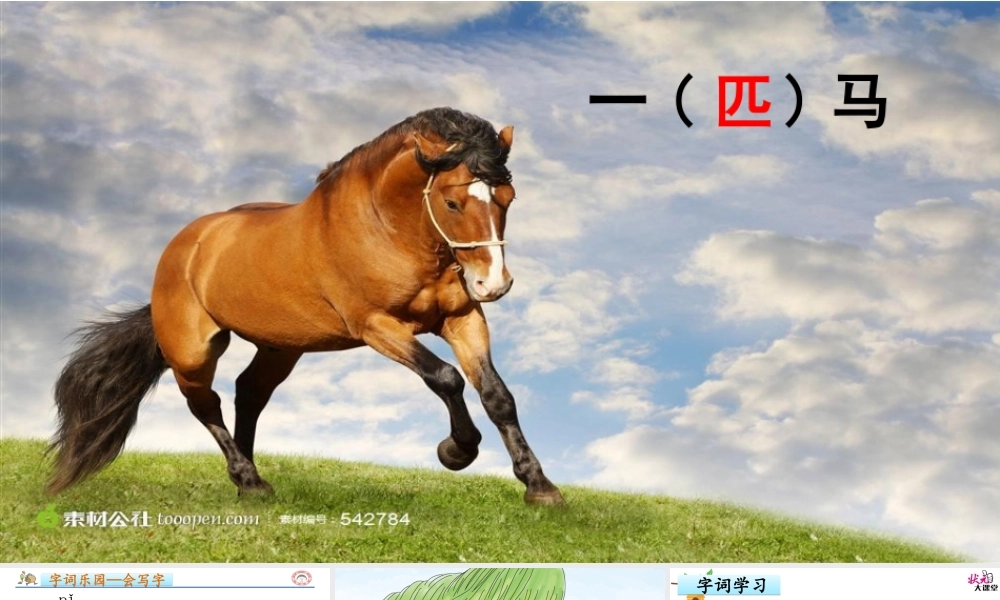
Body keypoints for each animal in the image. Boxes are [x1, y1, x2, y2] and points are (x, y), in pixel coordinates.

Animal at [47, 107, 564, 506]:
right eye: (453, 202)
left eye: (508, 197)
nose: (493, 283)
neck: (387, 228)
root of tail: (184, 247)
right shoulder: (377, 326)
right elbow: (445, 378)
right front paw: (456, 451)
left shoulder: (461, 319)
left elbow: (497, 395)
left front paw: (540, 488)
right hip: (193, 351)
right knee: (205, 404)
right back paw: (250, 480)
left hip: (280, 346)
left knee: (249, 393)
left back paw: (249, 482)